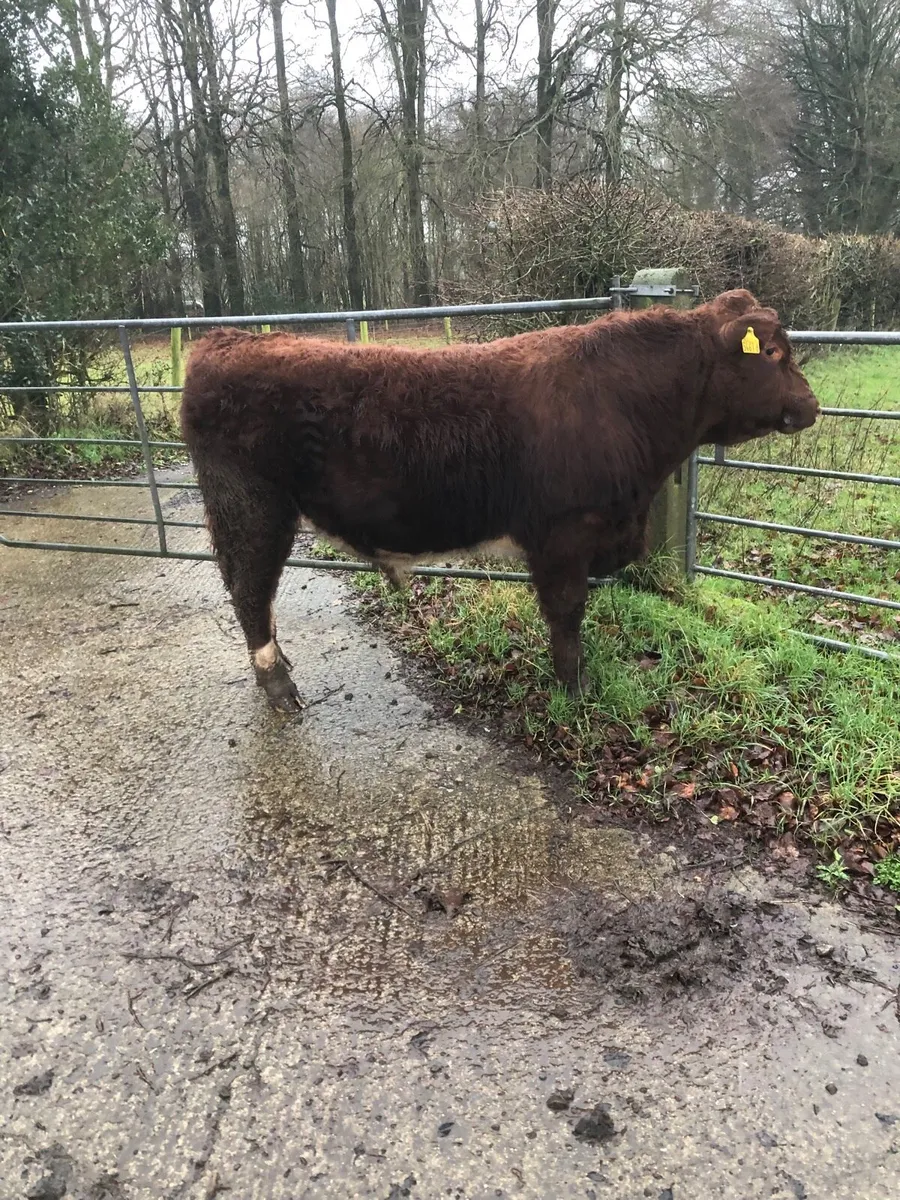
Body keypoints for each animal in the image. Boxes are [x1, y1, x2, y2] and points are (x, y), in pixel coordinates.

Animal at [180, 289, 819, 711]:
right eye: (771, 354)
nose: (812, 405)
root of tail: (225, 341)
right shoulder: (564, 536)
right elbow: (566, 616)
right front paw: (574, 690)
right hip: (251, 509)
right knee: (250, 592)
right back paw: (279, 686)